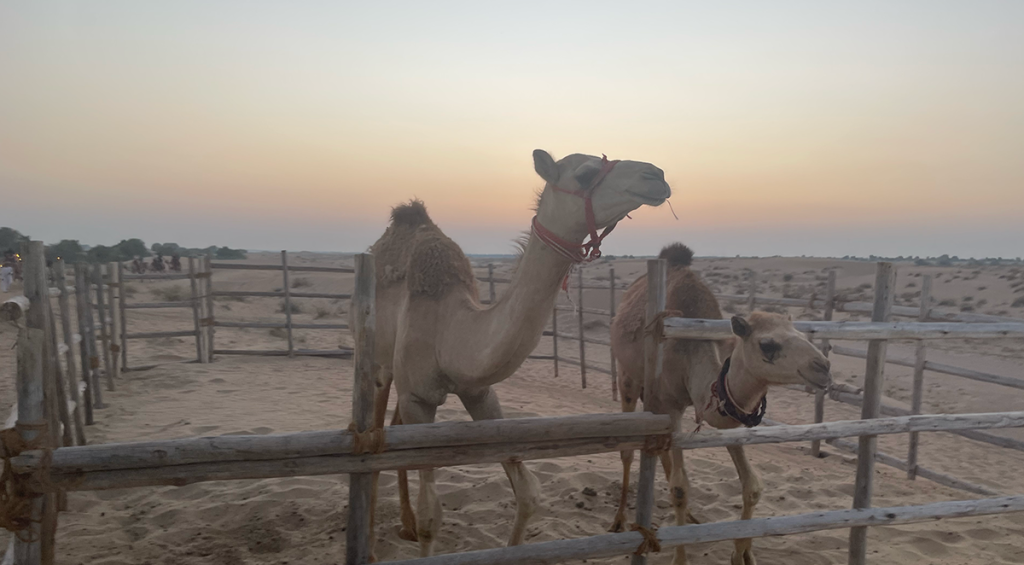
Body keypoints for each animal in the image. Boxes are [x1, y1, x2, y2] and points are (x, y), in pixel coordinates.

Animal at [360, 150, 671, 556]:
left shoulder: (479, 392)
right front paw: (417, 529)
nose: (657, 175)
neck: (451, 332)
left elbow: (528, 493)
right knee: (377, 434)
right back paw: (373, 541)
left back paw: (405, 526)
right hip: (380, 365)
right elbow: (432, 517)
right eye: (585, 174)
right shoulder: (417, 397)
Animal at [606, 244, 831, 565]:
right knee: (628, 451)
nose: (823, 367)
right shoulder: (672, 405)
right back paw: (619, 520)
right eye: (768, 344)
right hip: (628, 377)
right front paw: (680, 558)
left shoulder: (727, 413)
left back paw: (690, 516)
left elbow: (752, 485)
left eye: (802, 334)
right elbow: (679, 488)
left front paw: (743, 553)